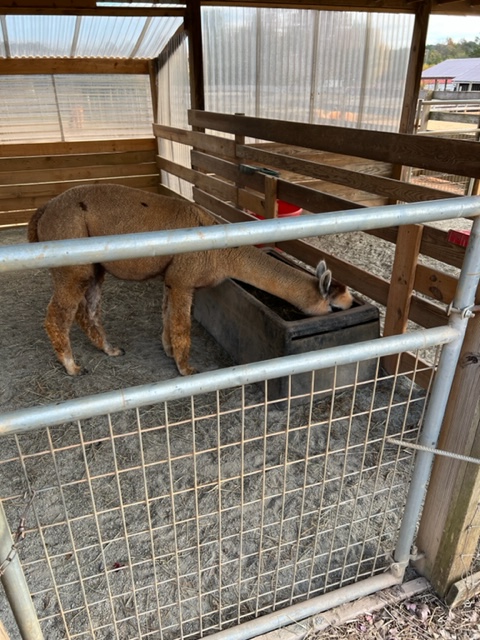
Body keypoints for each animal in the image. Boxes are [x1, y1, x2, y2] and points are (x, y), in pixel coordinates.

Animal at [28, 184, 353, 376]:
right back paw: (72, 366)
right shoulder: (185, 279)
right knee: (57, 317)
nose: (352, 308)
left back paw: (109, 349)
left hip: (94, 267)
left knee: (88, 312)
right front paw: (187, 370)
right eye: (336, 306)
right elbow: (182, 327)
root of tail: (43, 211)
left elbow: (167, 317)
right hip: (72, 264)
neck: (222, 250)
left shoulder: (172, 277)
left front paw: (168, 351)